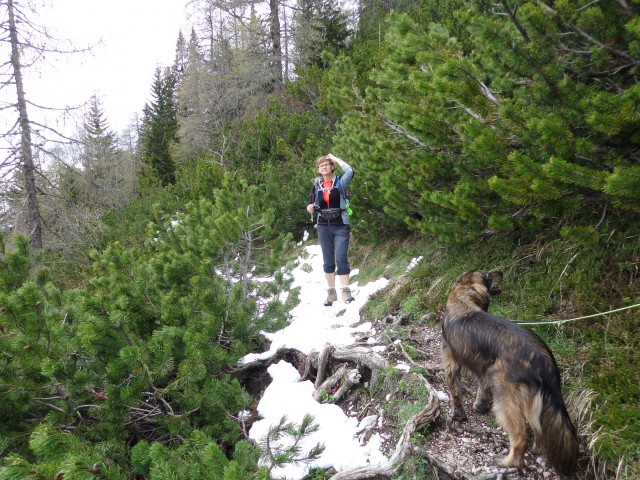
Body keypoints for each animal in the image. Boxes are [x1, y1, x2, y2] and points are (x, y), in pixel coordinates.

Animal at [442, 270, 576, 476]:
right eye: (488, 275)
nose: (501, 272)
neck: (463, 298)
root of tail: (543, 359)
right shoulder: (484, 367)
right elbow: (482, 387)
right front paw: (480, 405)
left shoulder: (451, 362)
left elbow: (455, 393)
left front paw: (459, 415)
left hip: (506, 399)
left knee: (520, 439)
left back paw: (508, 462)